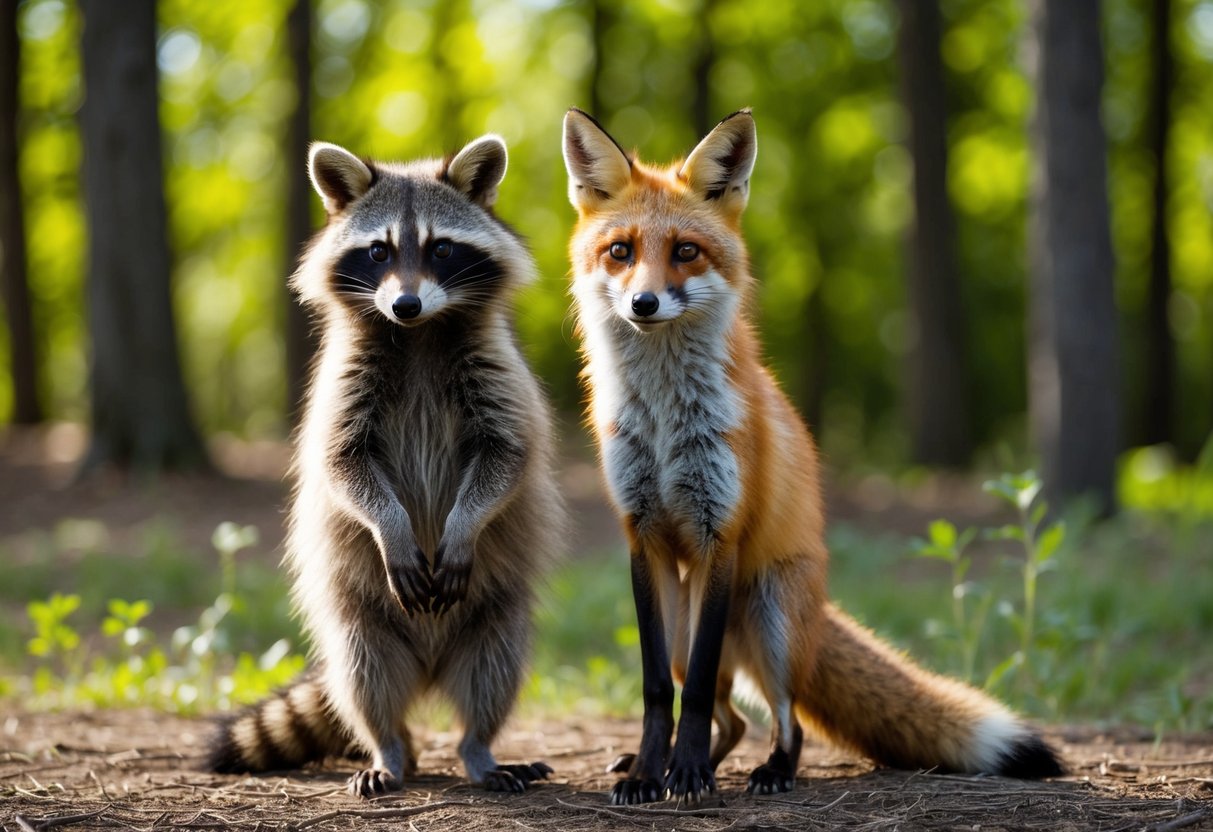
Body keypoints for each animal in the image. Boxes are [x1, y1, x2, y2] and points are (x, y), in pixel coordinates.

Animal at [207, 135, 565, 797]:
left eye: (441, 248)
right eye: (379, 251)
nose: (405, 304)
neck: (420, 333)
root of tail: (427, 667)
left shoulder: (497, 372)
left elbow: (506, 455)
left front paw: (463, 522)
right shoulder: (345, 380)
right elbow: (342, 464)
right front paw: (391, 525)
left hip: (496, 609)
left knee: (493, 670)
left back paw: (479, 748)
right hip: (360, 615)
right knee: (365, 678)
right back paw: (391, 749)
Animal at [561, 107, 1064, 805]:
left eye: (686, 251)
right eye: (621, 252)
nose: (644, 303)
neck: (665, 424)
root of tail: (821, 606)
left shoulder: (721, 534)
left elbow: (694, 699)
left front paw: (684, 777)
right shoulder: (644, 536)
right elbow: (658, 689)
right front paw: (647, 775)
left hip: (768, 623)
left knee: (781, 718)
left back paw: (763, 770)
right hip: (691, 626)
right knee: (732, 717)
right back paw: (676, 764)